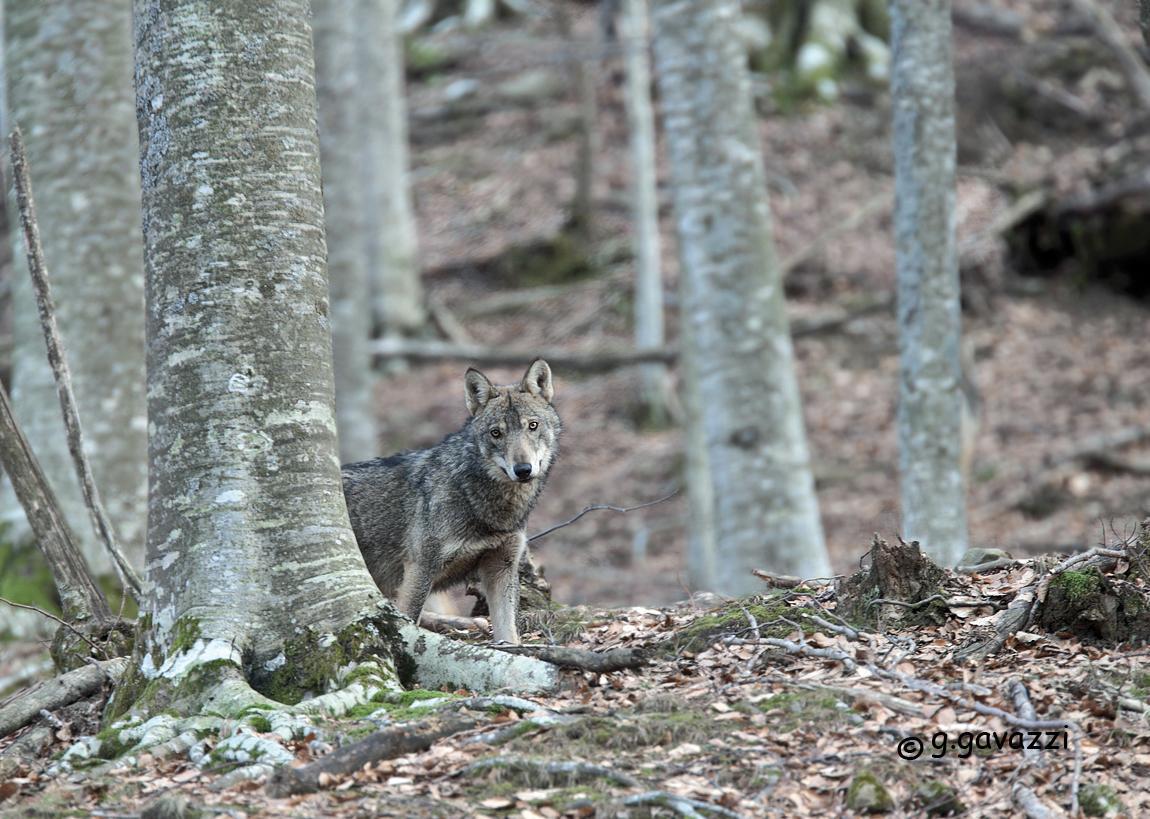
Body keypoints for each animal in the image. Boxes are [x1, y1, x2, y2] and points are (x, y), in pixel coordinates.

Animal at [341, 359, 560, 644]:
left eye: (532, 426)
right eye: (496, 433)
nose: (523, 470)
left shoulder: (501, 566)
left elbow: (509, 633)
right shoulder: (420, 569)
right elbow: (407, 622)